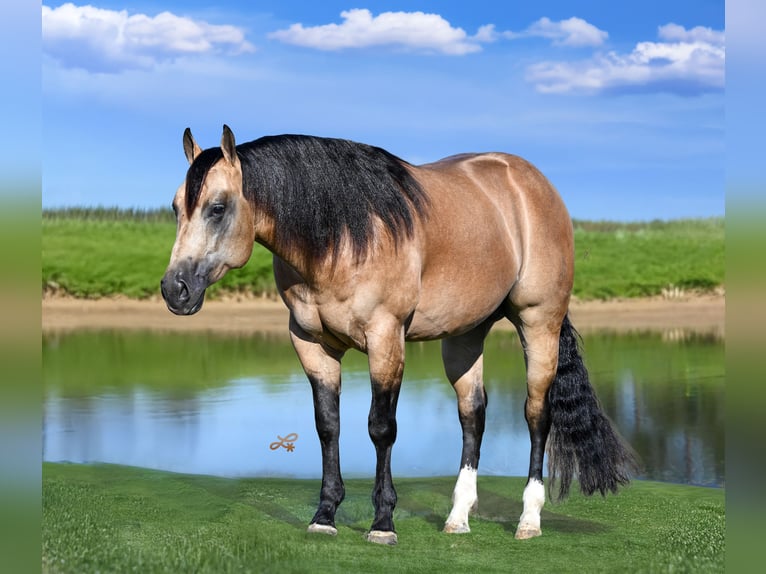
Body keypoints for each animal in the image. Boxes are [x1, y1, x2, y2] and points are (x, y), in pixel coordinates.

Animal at [161, 125, 637, 545]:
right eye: (176, 208)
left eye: (218, 207)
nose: (174, 289)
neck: (342, 237)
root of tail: (531, 183)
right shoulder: (312, 345)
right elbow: (328, 426)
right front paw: (324, 515)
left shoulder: (386, 338)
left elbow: (381, 428)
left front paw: (383, 523)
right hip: (466, 335)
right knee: (473, 415)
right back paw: (458, 517)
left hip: (539, 324)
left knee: (537, 415)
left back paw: (529, 520)